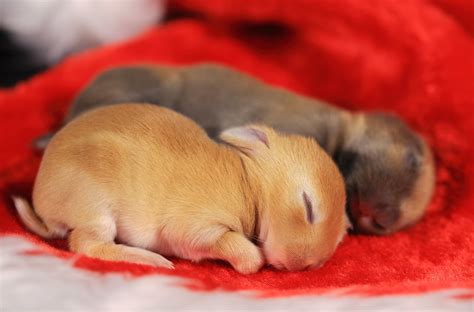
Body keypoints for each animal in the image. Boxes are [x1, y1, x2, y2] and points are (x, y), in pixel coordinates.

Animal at [12, 104, 346, 272]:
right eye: (308, 206)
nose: (308, 266)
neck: (249, 186)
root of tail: (42, 203)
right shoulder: (200, 228)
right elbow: (247, 255)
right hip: (95, 209)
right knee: (87, 245)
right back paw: (152, 259)